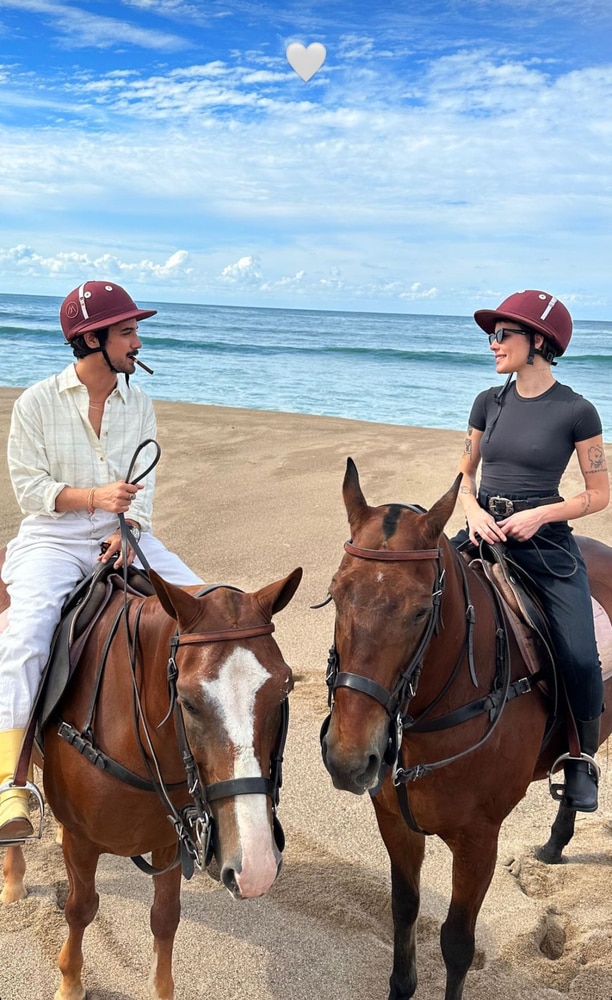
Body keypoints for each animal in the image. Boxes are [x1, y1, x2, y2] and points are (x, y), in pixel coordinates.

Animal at [0, 564, 302, 1000]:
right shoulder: (82, 842)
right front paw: (71, 982)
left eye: (284, 689)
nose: (257, 867)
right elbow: (80, 908)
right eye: (188, 701)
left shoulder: (169, 840)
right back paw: (13, 874)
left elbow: (165, 917)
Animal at [320, 460, 612, 1000]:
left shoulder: (479, 841)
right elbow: (404, 912)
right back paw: (555, 844)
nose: (349, 759)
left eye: (420, 610)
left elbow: (457, 942)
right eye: (335, 595)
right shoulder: (395, 823)